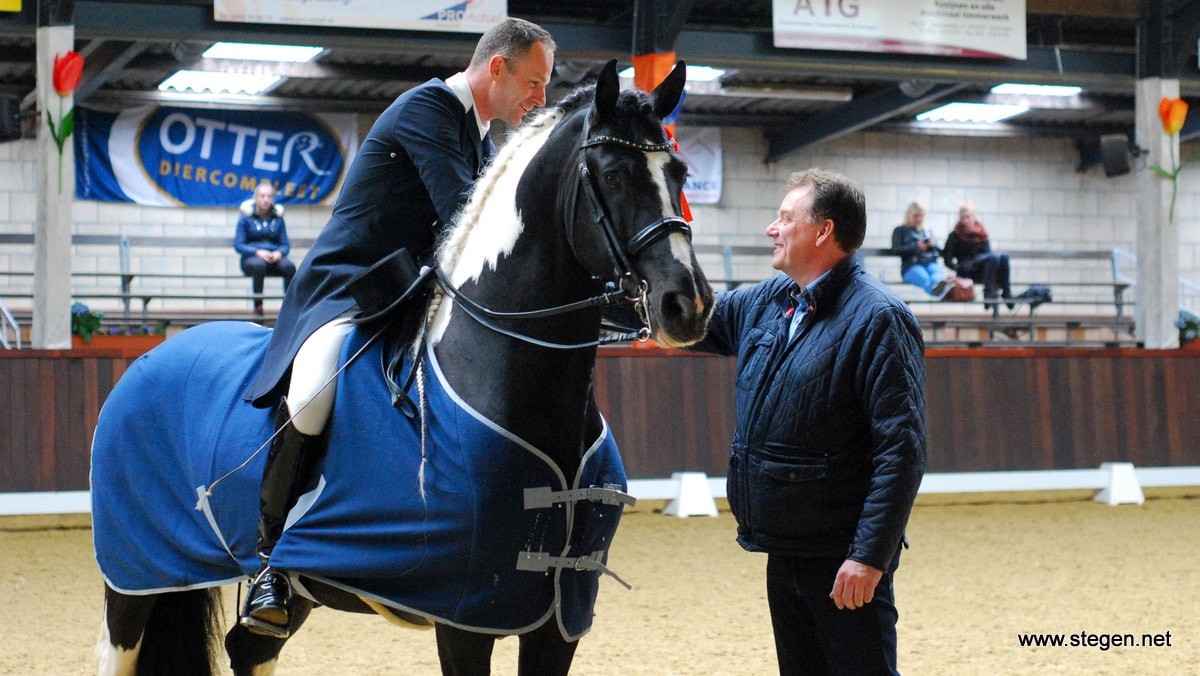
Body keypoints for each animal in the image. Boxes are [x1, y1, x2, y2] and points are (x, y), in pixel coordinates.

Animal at [93, 60, 710, 672]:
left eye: (680, 173)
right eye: (613, 176)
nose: (688, 304)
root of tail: (148, 359)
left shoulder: (560, 614)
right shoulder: (466, 613)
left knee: (249, 647)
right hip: (134, 572)